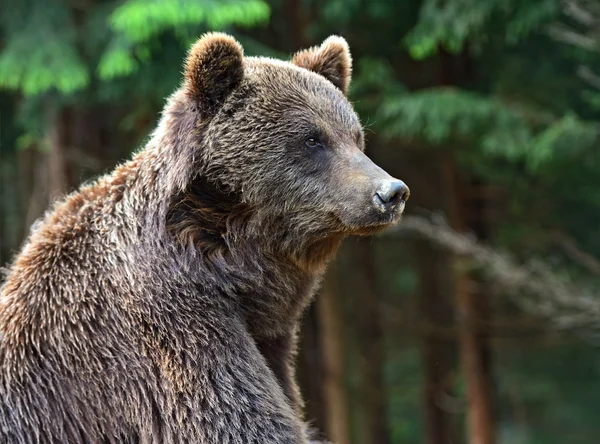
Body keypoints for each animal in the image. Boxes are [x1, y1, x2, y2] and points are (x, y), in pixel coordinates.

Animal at [0, 33, 408, 442]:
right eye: (312, 139)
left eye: (355, 136)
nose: (392, 192)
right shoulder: (170, 323)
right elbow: (231, 417)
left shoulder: (269, 338)